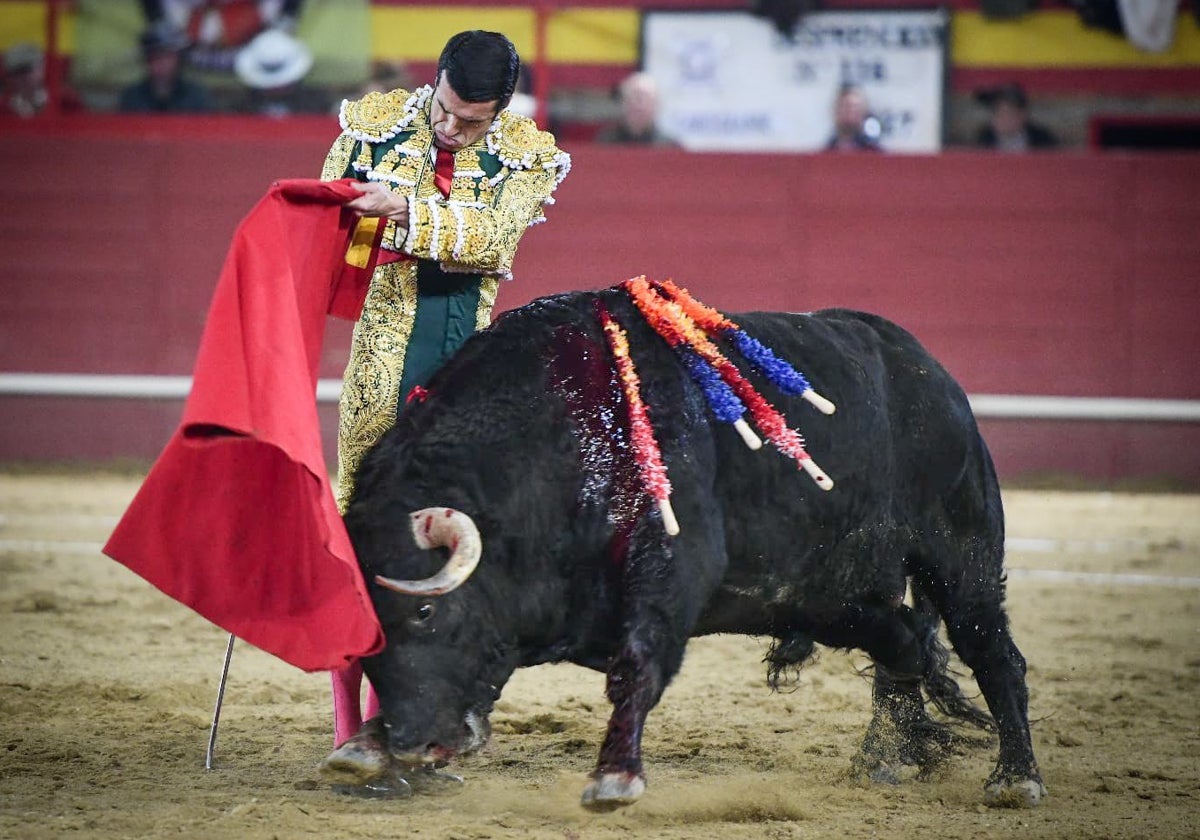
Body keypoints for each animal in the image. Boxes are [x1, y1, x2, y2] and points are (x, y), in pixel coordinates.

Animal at [336, 289, 1041, 806]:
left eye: (426, 610)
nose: (411, 742)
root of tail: (925, 366)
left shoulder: (672, 572)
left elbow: (639, 665)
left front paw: (614, 778)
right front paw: (363, 745)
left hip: (961, 552)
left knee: (990, 650)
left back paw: (1015, 778)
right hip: (822, 592)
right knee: (903, 640)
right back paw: (887, 757)